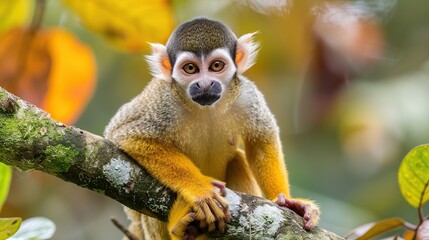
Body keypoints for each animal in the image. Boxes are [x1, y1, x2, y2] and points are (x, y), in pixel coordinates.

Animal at [103, 17, 318, 239]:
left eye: (216, 66)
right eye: (190, 69)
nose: (204, 84)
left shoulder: (246, 95)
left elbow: (261, 141)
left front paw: (285, 201)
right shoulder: (163, 99)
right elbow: (125, 134)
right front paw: (200, 190)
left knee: (238, 159)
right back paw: (180, 230)